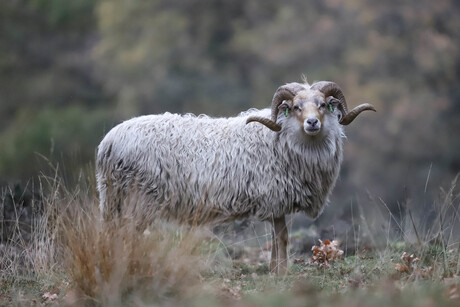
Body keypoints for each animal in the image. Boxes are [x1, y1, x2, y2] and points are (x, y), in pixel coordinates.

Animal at [96, 79, 374, 274]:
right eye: (296, 107)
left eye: (323, 105)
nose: (312, 123)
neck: (281, 138)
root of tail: (109, 143)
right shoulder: (275, 198)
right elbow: (281, 238)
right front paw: (281, 272)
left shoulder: (276, 203)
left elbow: (276, 239)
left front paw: (275, 269)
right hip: (138, 199)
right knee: (127, 234)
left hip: (116, 199)